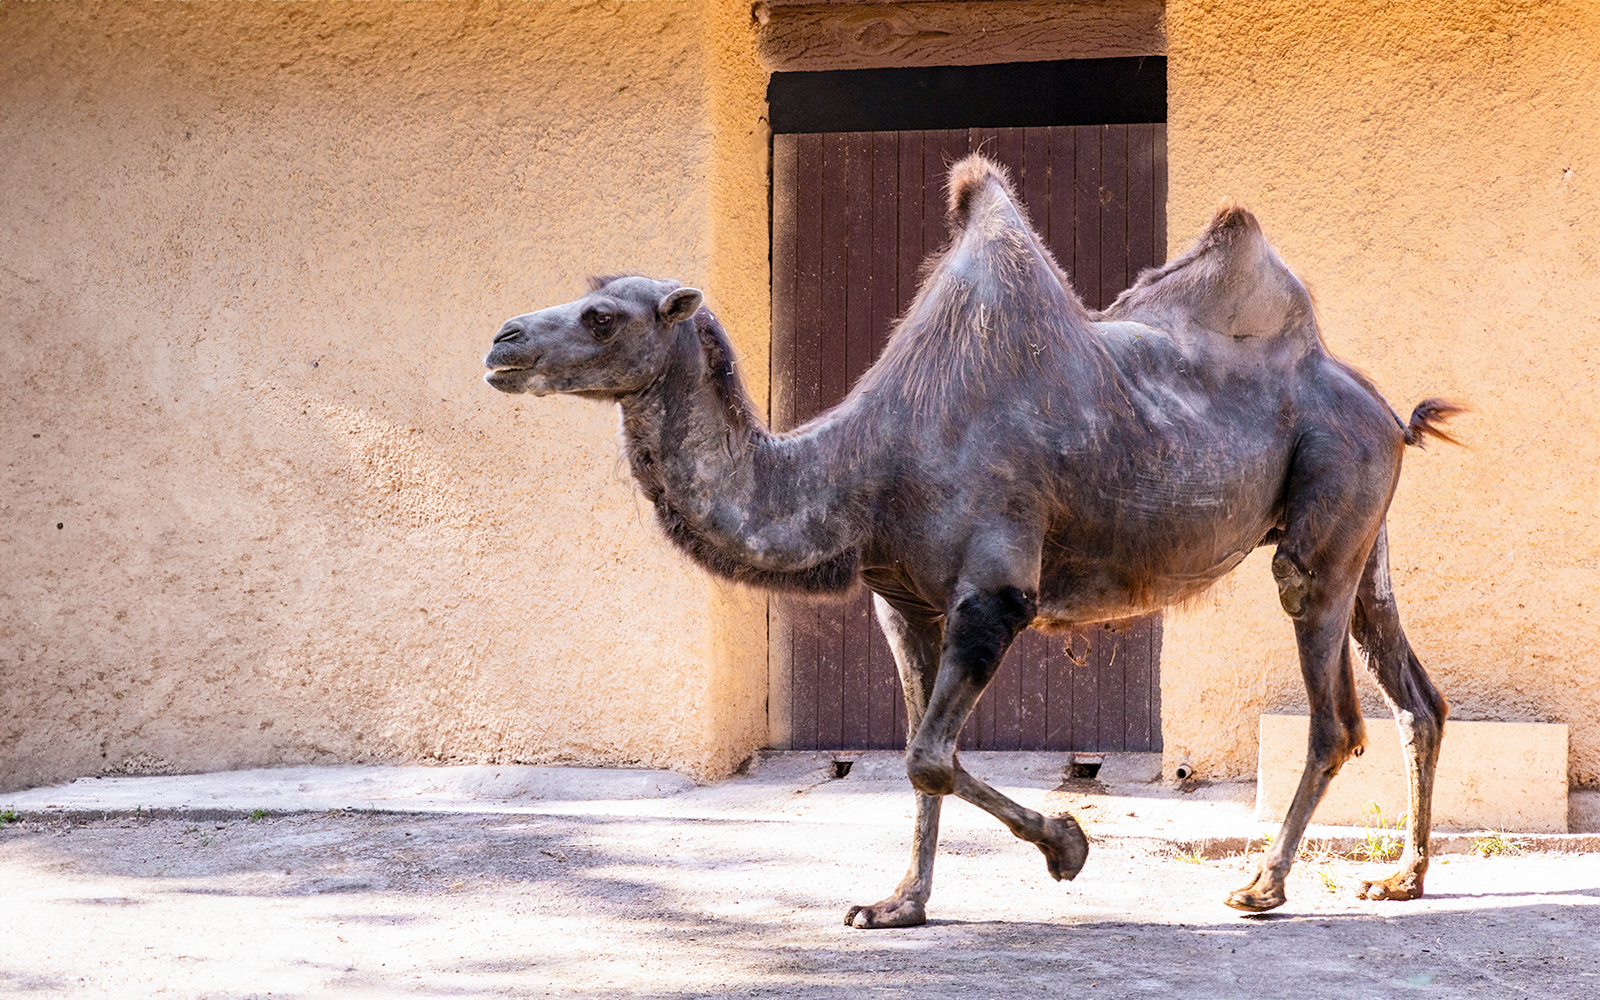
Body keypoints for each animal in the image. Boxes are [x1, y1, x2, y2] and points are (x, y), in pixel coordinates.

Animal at [482, 154, 1459, 927]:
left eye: (604, 316)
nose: (501, 341)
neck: (867, 471)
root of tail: (1382, 410)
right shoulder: (903, 604)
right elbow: (927, 758)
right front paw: (897, 904)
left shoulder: (995, 593)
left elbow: (926, 755)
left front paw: (1067, 846)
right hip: (1363, 530)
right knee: (1417, 696)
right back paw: (1402, 879)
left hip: (1327, 509)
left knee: (1332, 708)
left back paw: (1263, 885)